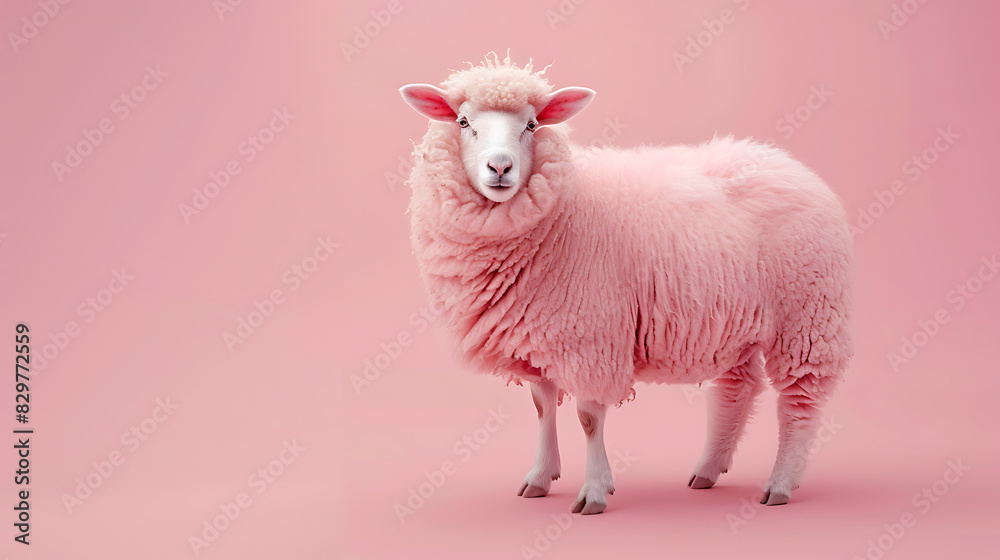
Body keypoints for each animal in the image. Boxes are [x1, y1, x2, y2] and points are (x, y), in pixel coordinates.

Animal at [398, 53, 852, 515]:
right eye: (462, 121)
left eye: (531, 124)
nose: (500, 168)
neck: (563, 210)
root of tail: (793, 166)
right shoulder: (538, 331)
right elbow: (542, 407)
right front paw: (540, 478)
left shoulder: (590, 336)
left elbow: (588, 417)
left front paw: (595, 491)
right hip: (735, 324)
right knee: (736, 391)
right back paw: (708, 470)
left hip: (807, 315)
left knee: (799, 400)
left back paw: (780, 484)